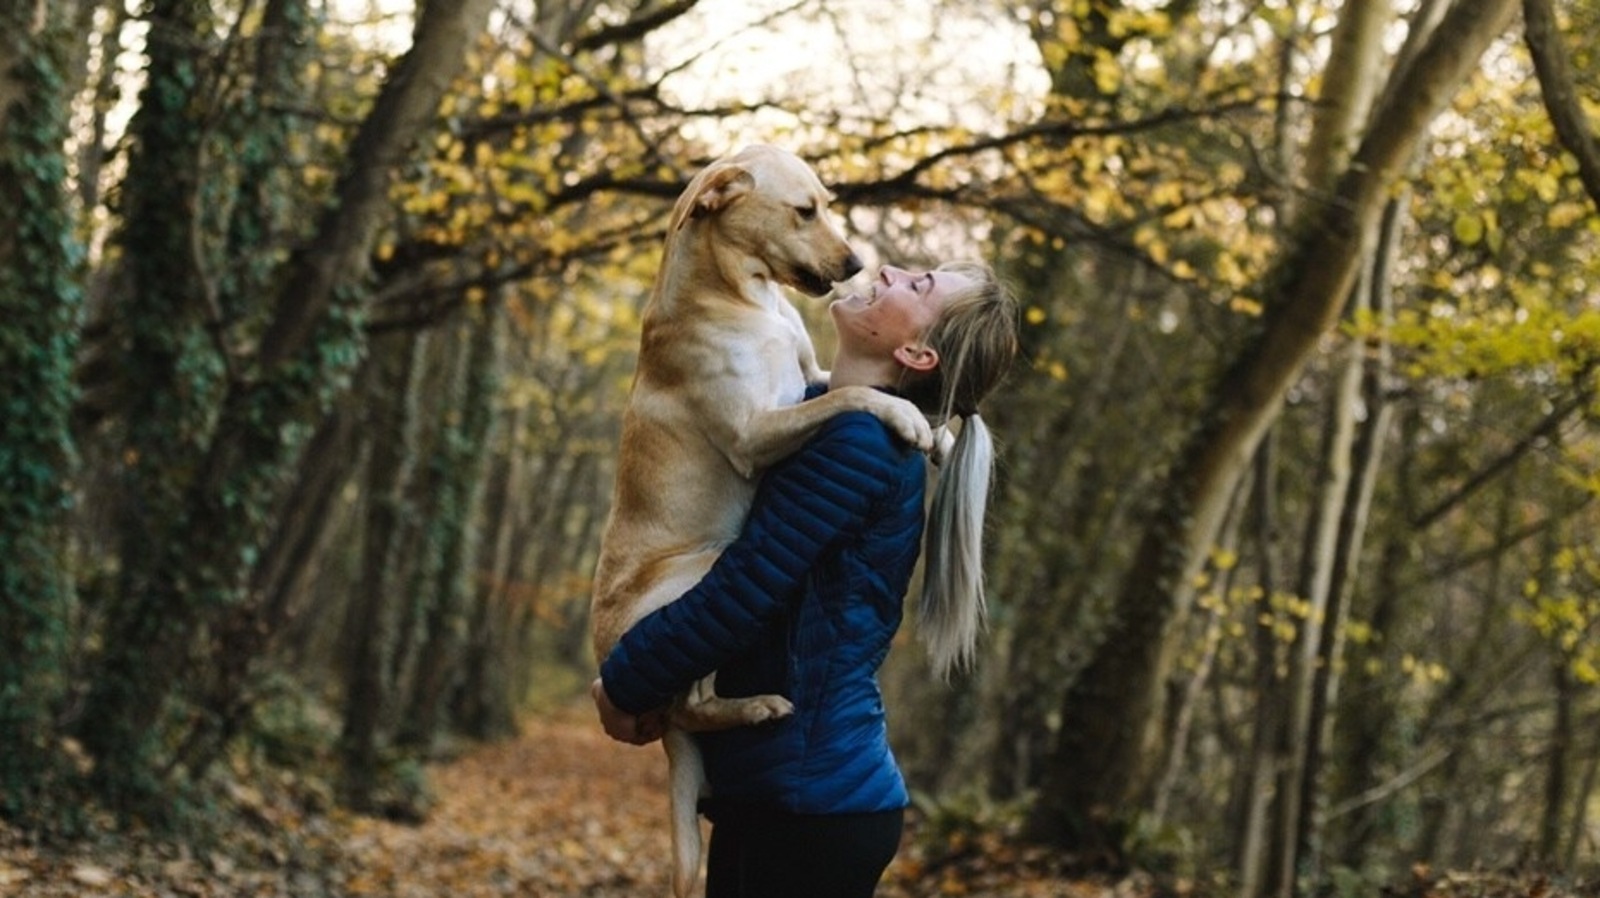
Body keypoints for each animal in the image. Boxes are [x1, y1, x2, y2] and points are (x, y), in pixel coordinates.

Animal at [595, 143, 934, 889]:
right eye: (803, 211)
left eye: (828, 204)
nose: (857, 267)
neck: (740, 294)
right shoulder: (755, 431)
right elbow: (852, 397)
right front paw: (906, 416)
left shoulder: (806, 375)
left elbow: (833, 387)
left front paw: (941, 429)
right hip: (704, 570)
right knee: (694, 699)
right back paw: (758, 707)